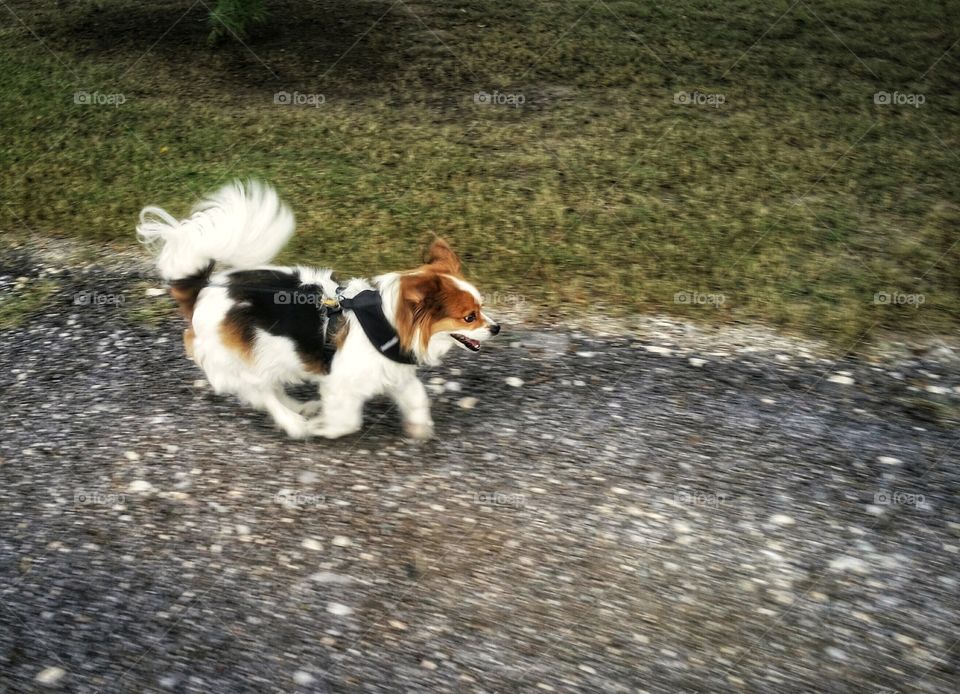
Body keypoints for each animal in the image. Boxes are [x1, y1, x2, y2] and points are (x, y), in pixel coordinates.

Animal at [137, 181, 502, 440]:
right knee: (259, 392)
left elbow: (417, 398)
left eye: (482, 309)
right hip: (240, 359)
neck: (386, 323)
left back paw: (300, 408)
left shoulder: (394, 373)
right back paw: (295, 423)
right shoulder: (343, 382)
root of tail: (205, 287)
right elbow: (347, 421)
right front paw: (325, 428)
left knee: (270, 388)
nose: (496, 328)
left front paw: (419, 428)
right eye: (469, 317)